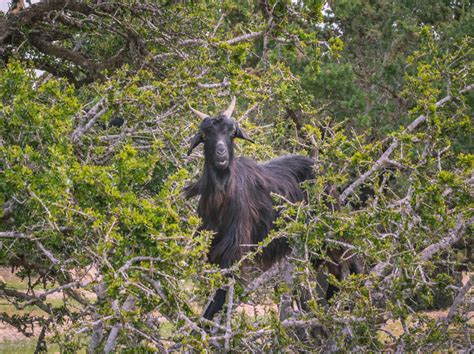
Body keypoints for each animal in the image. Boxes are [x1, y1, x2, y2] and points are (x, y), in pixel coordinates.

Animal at [185, 97, 314, 320]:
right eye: (206, 135)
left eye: (232, 132)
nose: (221, 154)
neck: (220, 204)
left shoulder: (233, 250)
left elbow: (221, 294)